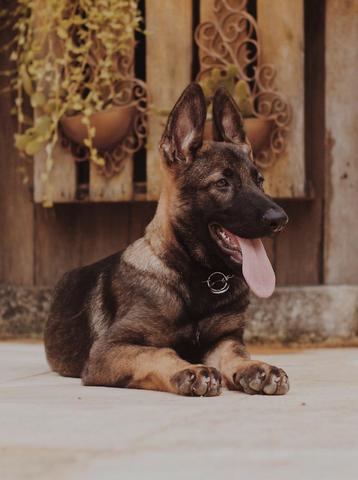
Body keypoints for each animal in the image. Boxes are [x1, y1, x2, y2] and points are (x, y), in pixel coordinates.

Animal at [45, 84, 290, 396]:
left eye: (259, 181)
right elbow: (158, 352)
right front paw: (190, 370)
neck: (200, 278)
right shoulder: (108, 349)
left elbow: (235, 354)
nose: (280, 219)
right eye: (222, 183)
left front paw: (256, 368)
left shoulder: (224, 339)